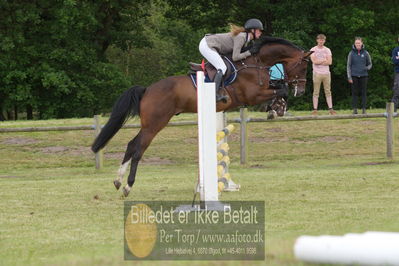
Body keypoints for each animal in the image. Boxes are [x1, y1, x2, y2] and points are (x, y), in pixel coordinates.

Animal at [92, 36, 314, 196]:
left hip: (150, 124)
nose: (301, 91)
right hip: (155, 124)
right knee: (138, 149)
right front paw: (276, 107)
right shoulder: (252, 94)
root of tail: (147, 90)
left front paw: (277, 108)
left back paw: (118, 180)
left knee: (131, 145)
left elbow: (280, 88)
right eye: (303, 66)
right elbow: (281, 88)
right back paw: (128, 186)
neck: (255, 62)